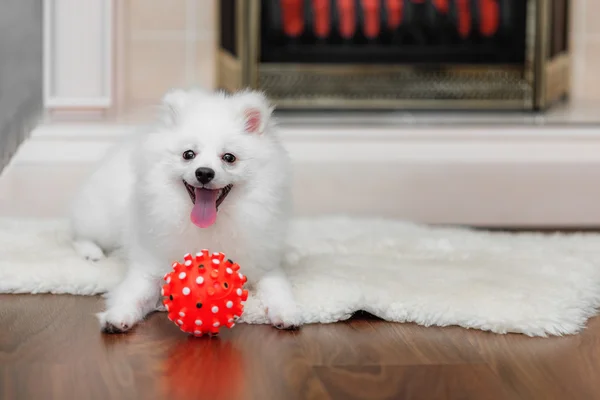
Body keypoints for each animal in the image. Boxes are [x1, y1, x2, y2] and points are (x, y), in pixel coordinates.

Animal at [68, 89, 300, 332]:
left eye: (229, 158)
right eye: (188, 154)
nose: (204, 172)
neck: (211, 227)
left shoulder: (265, 266)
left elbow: (278, 289)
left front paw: (287, 313)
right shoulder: (149, 266)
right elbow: (133, 294)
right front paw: (117, 316)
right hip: (102, 222)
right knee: (78, 234)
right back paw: (91, 253)